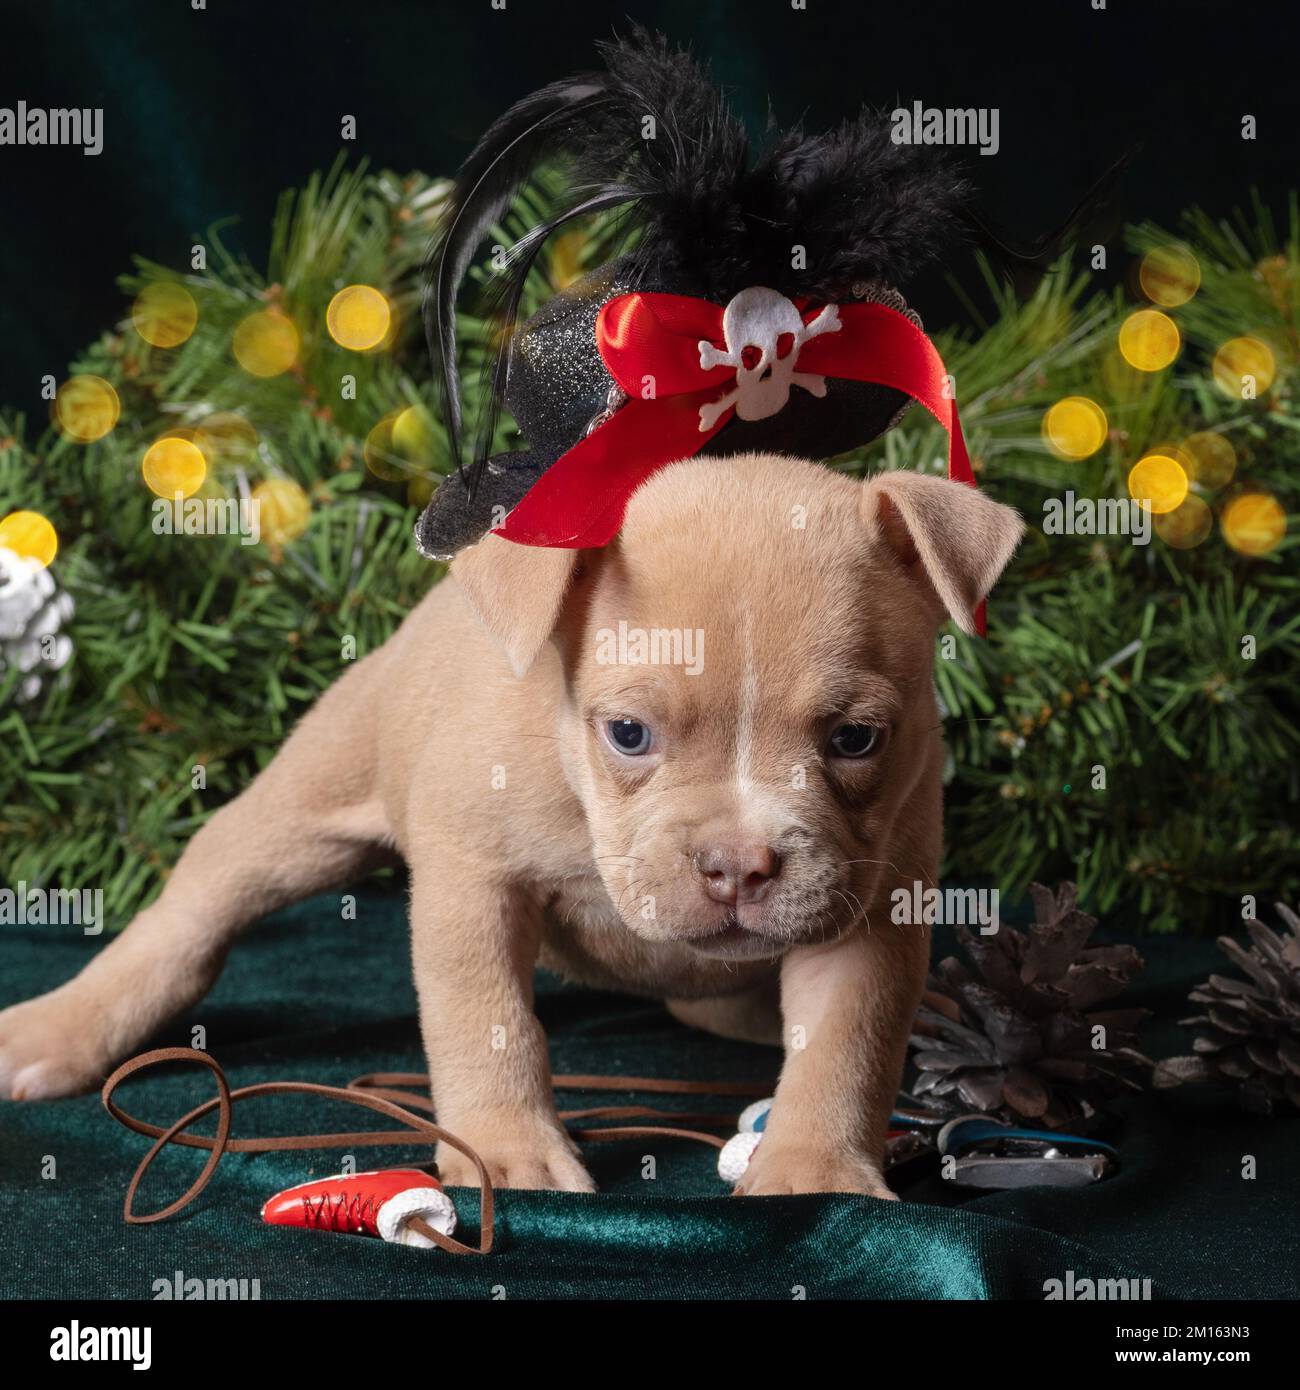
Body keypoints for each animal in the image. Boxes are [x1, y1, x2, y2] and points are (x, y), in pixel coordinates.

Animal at [0, 453, 1017, 1195]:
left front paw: (815, 1173)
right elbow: (486, 1021)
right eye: (629, 733)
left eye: (855, 739)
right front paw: (506, 1150)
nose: (738, 863)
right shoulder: (472, 883)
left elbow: (845, 1045)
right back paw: (59, 1030)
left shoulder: (871, 910)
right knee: (200, 906)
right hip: (311, 797)